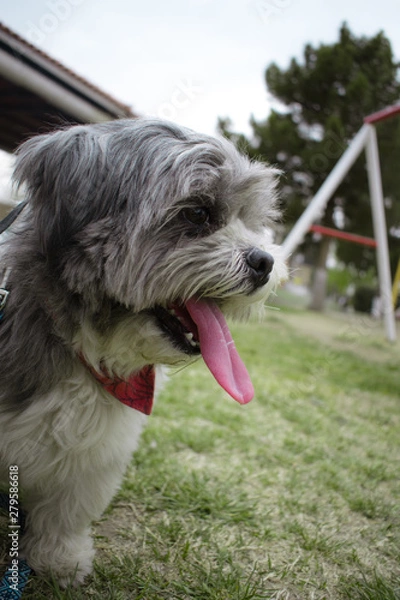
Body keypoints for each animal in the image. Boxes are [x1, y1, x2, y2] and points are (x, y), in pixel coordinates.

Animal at [0, 118, 288, 584]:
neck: (85, 345)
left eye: (252, 219)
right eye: (197, 213)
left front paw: (59, 559)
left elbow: (65, 510)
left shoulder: (93, 452)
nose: (265, 261)